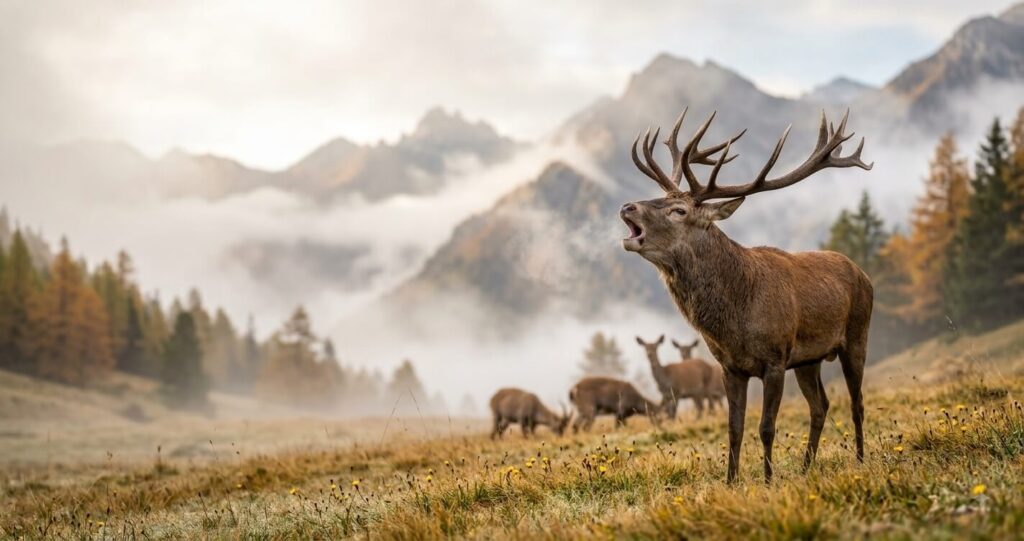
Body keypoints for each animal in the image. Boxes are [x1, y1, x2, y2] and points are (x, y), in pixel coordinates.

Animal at [619, 108, 873, 483]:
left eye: (679, 211)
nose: (628, 207)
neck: (735, 321)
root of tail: (862, 273)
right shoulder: (730, 367)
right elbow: (733, 429)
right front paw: (731, 481)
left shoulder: (775, 359)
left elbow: (766, 427)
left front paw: (768, 481)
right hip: (809, 359)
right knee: (820, 405)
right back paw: (806, 466)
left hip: (856, 336)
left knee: (857, 403)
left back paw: (859, 459)